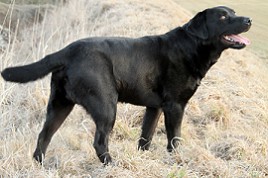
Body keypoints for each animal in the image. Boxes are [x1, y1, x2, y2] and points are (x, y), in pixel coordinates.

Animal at [1, 6, 251, 164]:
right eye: (222, 17)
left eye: (233, 12)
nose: (248, 20)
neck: (192, 46)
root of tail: (67, 51)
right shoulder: (175, 106)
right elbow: (174, 138)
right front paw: (175, 160)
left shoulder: (154, 107)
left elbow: (146, 137)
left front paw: (144, 159)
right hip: (106, 106)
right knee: (100, 142)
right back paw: (112, 165)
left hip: (59, 105)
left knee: (44, 136)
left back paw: (40, 165)